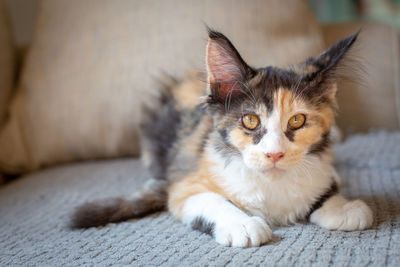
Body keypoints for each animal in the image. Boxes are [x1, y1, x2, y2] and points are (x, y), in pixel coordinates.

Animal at [71, 28, 372, 247]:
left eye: (297, 121)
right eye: (250, 120)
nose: (274, 154)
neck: (271, 186)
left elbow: (324, 191)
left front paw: (342, 207)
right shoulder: (184, 184)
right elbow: (213, 199)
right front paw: (242, 224)